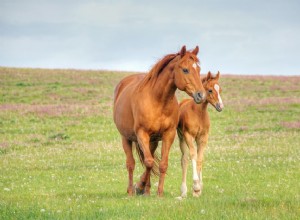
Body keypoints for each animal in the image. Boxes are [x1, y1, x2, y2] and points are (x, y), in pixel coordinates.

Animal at [113, 45, 206, 196]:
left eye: (198, 69)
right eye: (185, 69)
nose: (201, 95)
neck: (158, 100)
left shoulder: (168, 135)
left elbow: (161, 164)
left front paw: (159, 193)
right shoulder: (142, 134)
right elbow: (149, 162)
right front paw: (139, 187)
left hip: (153, 142)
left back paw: (146, 190)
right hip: (126, 138)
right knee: (131, 164)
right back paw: (131, 190)